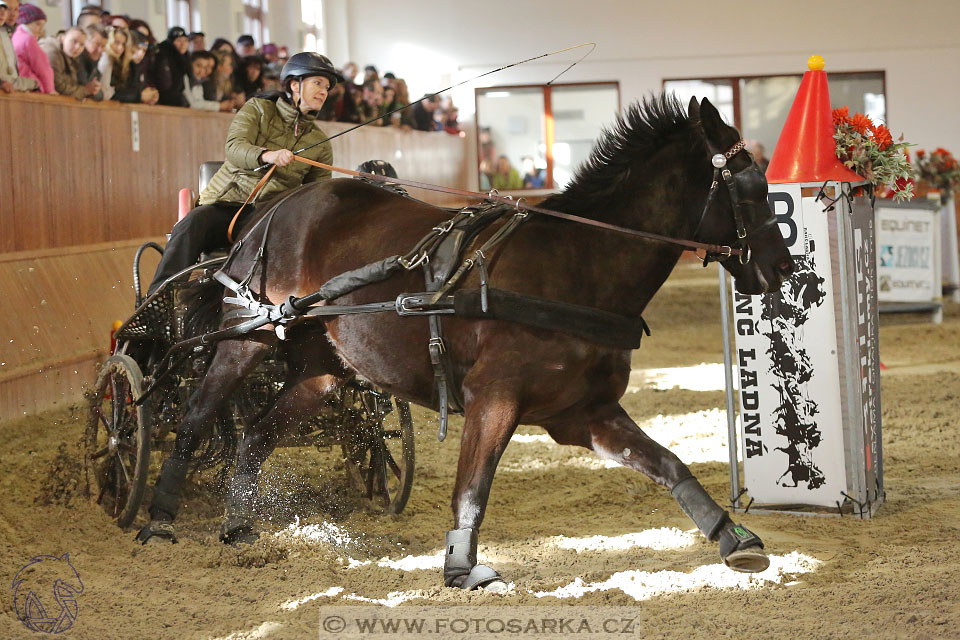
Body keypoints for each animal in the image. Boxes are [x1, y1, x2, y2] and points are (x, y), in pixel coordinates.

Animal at [137, 95, 796, 592]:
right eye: (751, 183)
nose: (782, 268)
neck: (577, 264)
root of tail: (265, 210)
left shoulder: (584, 413)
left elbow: (668, 464)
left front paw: (734, 539)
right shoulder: (494, 399)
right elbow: (473, 487)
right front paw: (462, 565)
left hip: (323, 370)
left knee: (253, 436)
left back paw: (238, 524)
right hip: (246, 338)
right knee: (196, 415)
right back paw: (159, 517)